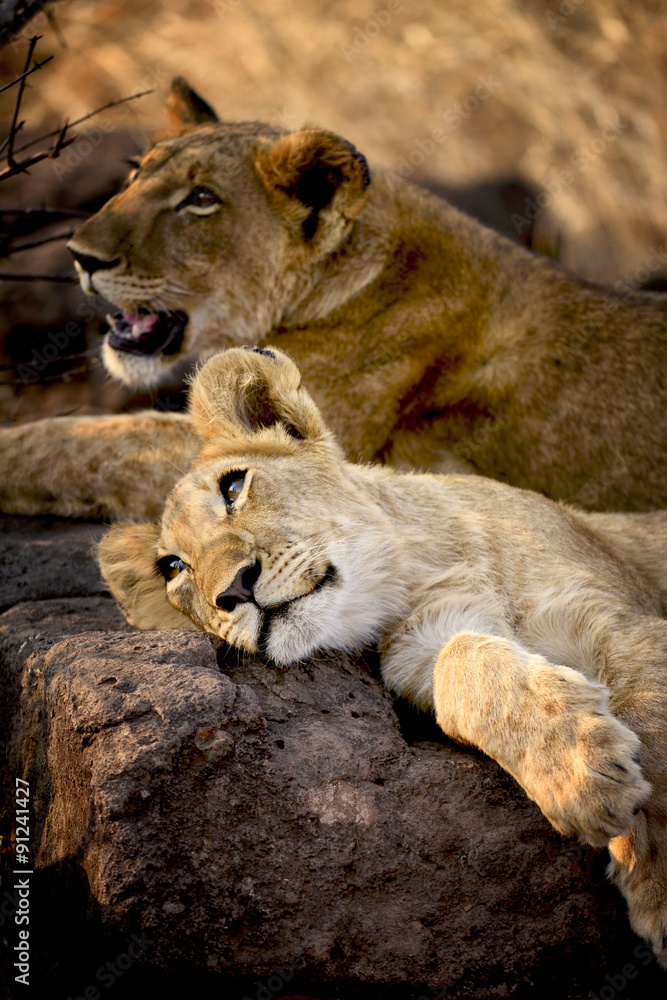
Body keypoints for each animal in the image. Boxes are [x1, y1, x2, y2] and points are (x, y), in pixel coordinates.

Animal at [97, 344, 667, 967]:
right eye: (174, 567)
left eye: (233, 487)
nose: (233, 590)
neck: (412, 571)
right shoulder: (423, 648)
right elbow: (461, 662)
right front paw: (578, 770)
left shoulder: (620, 619)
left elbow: (653, 720)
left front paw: (658, 880)